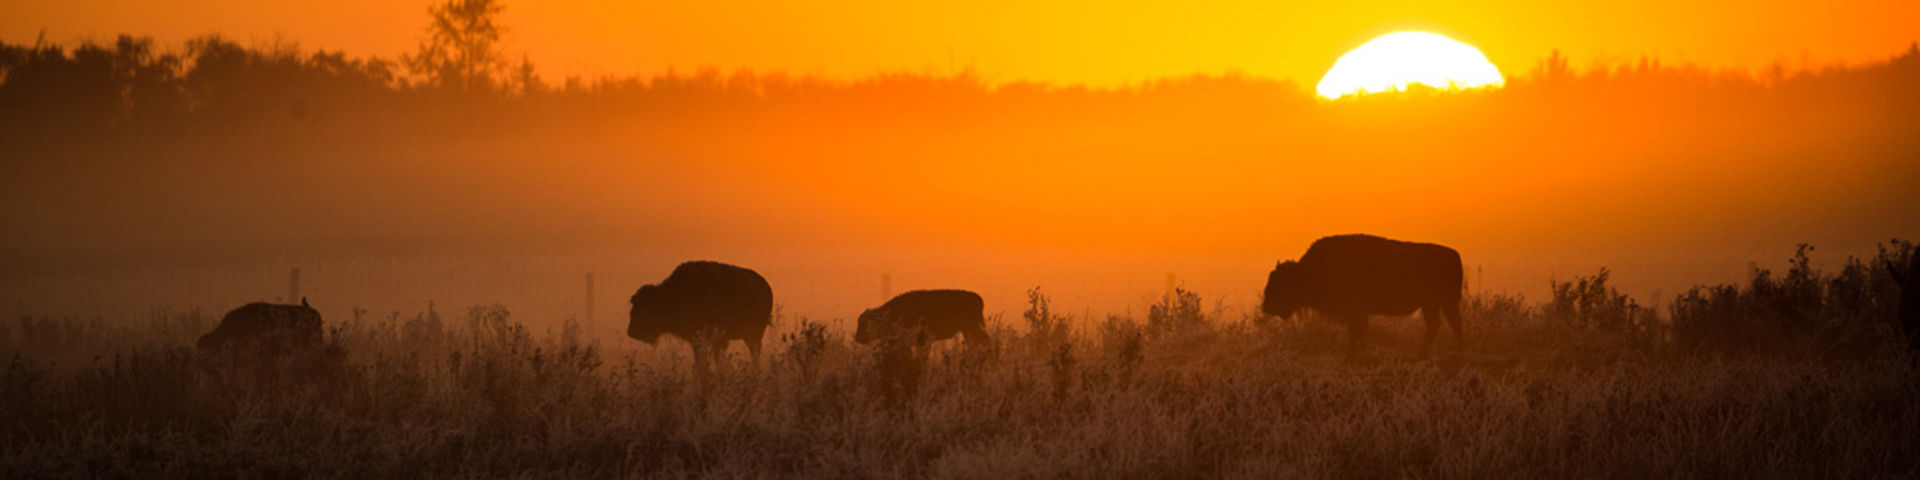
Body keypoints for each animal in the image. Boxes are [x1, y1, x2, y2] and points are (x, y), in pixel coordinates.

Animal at [1259, 234, 1466, 359]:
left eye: (1281, 284)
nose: (1266, 306)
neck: (1311, 272)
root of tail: (1454, 255)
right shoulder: (1358, 314)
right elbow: (1358, 333)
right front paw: (1357, 354)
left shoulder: (1355, 313)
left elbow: (1356, 333)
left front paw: (1352, 356)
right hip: (1434, 305)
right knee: (1441, 324)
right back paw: (1427, 354)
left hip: (1441, 303)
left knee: (1450, 324)